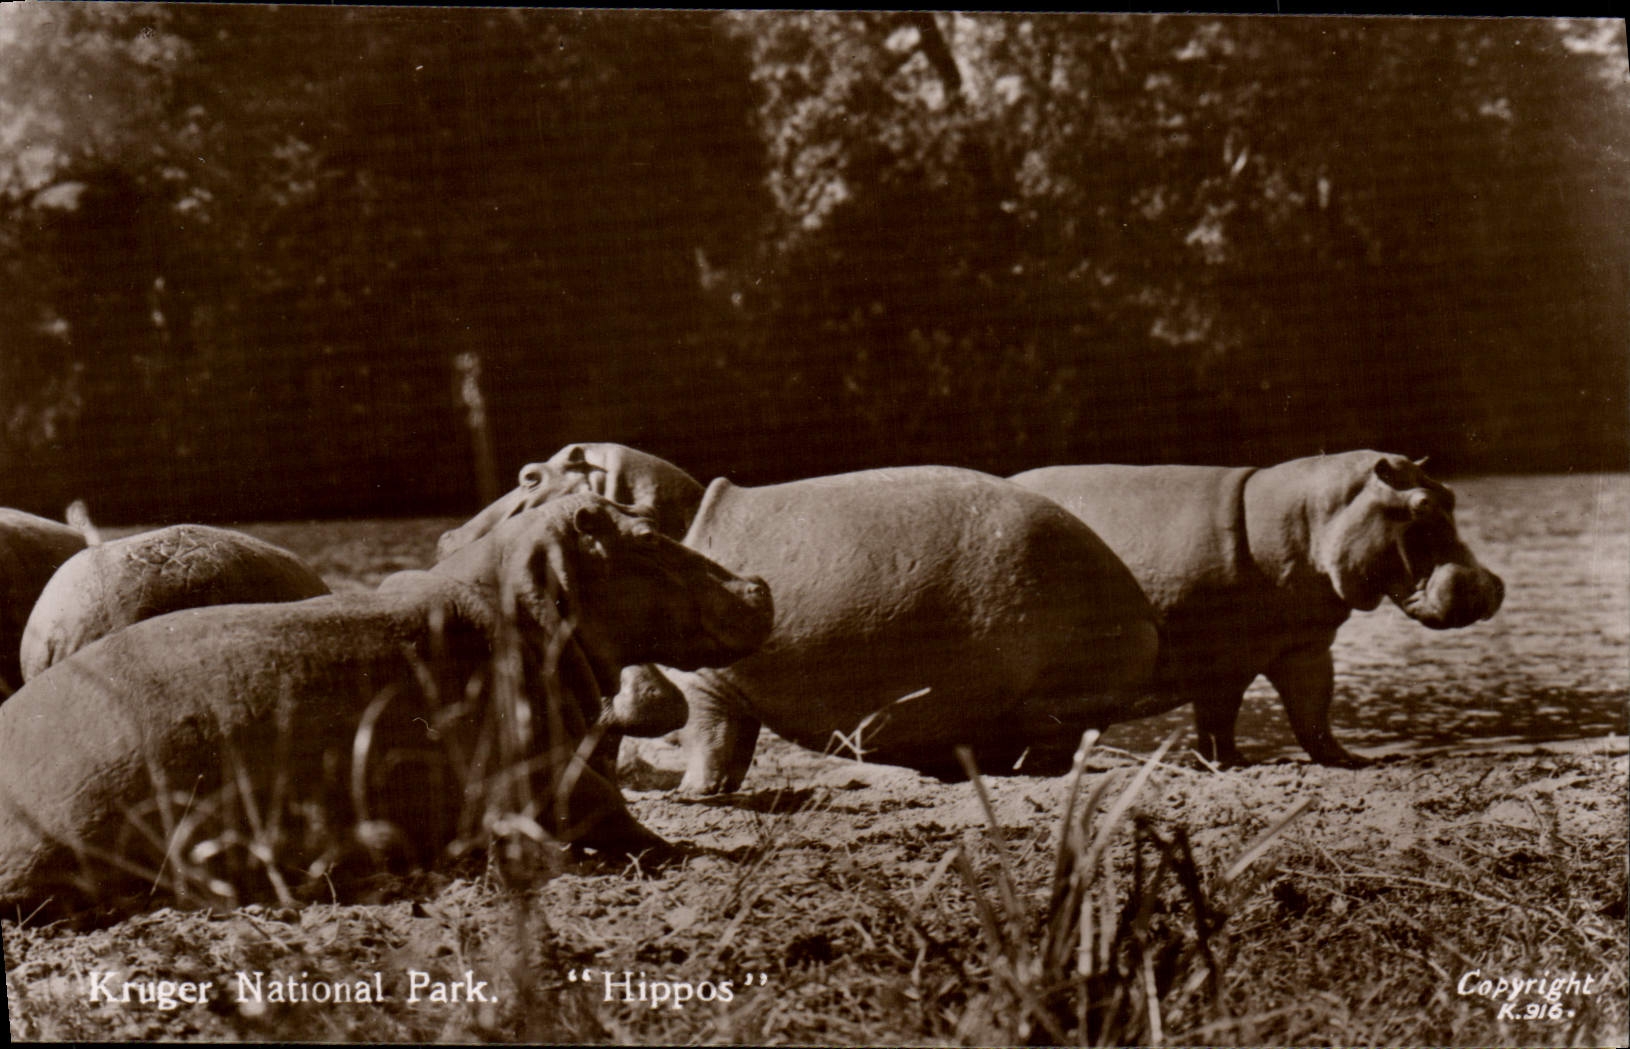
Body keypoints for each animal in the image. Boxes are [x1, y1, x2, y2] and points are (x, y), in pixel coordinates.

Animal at [619, 467, 1159, 795]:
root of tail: (1137, 600)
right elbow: (731, 746)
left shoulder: (705, 683)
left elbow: (707, 738)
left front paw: (692, 793)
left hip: (1057, 694)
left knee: (1055, 745)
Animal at [1010, 451, 1505, 768]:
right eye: (1420, 505)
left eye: (1451, 495)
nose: (1488, 587)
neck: (1312, 518)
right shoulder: (1217, 656)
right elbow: (1218, 715)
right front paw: (1228, 763)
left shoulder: (1304, 647)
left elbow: (1313, 712)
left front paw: (1351, 760)